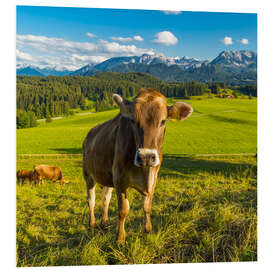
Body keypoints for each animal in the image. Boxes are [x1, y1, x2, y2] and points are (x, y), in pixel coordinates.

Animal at [81, 87, 192, 244]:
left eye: (163, 121)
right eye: (133, 120)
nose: (146, 157)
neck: (144, 171)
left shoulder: (153, 178)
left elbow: (147, 206)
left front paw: (148, 230)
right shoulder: (119, 179)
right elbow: (123, 210)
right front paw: (120, 238)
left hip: (107, 177)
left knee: (105, 198)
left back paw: (104, 222)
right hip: (88, 174)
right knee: (91, 200)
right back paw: (92, 224)